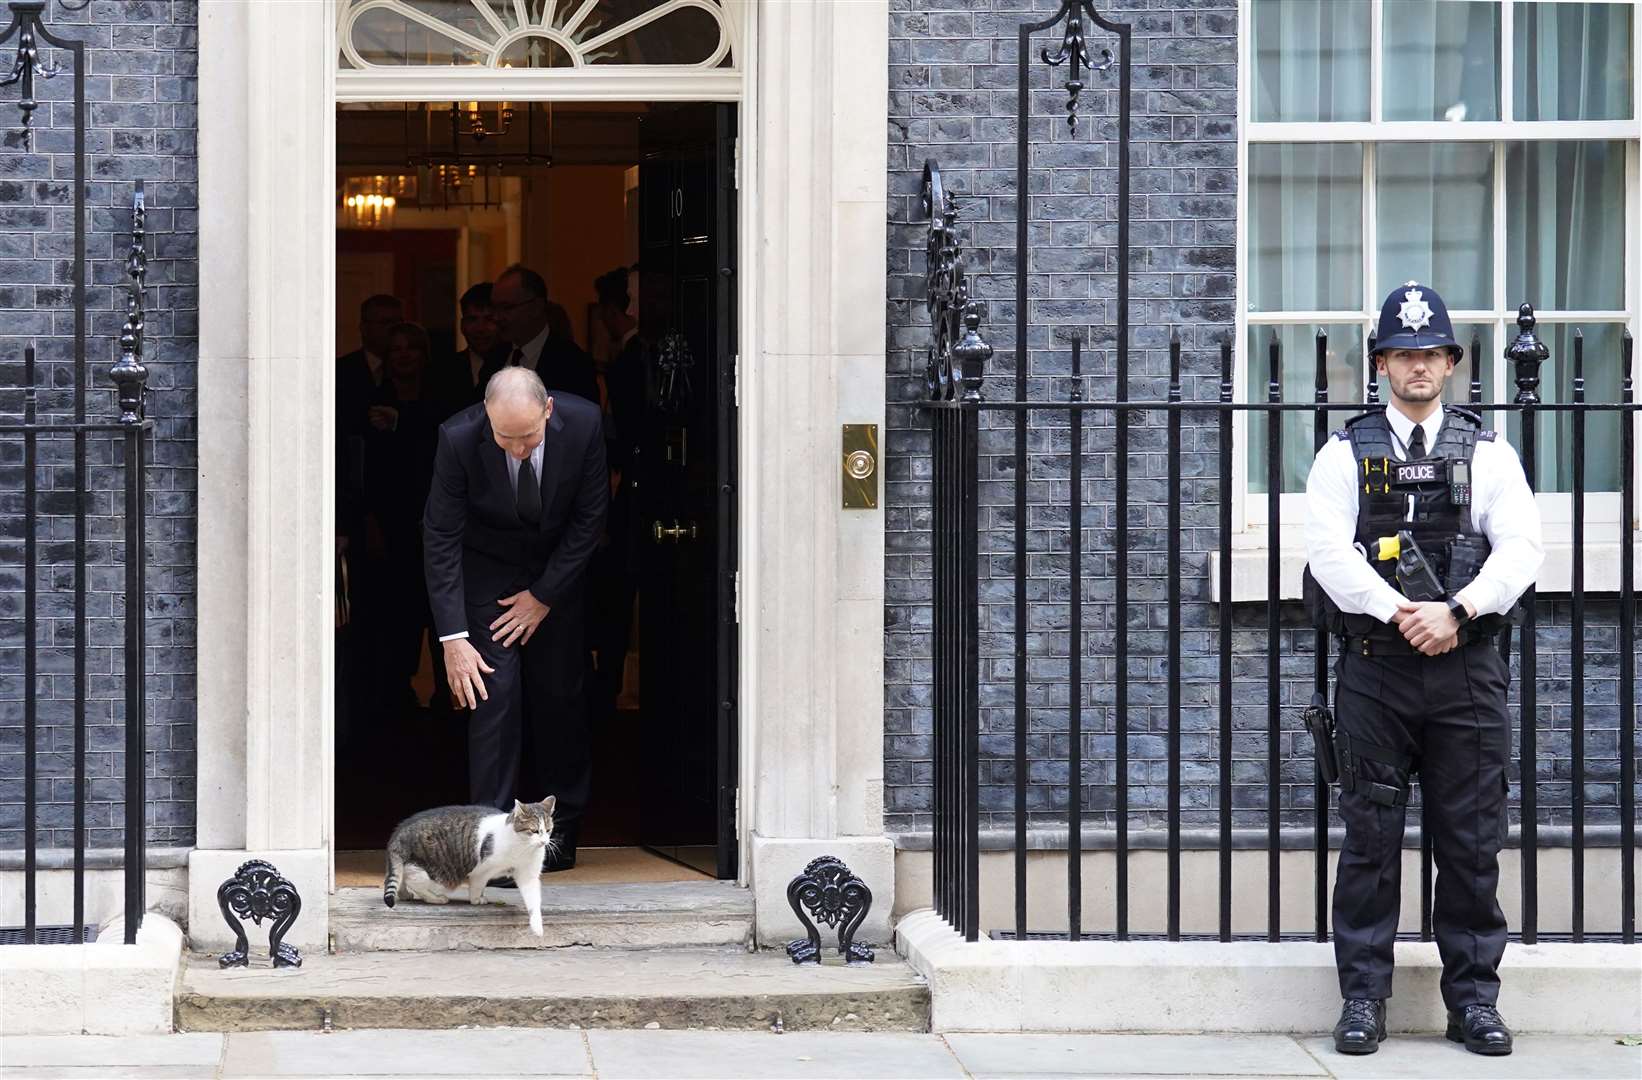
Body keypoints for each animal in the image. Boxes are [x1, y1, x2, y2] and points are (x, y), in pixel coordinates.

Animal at [379, 791, 554, 932]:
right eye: (534, 831)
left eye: (548, 830)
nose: (544, 842)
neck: (523, 847)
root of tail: (399, 832)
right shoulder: (483, 870)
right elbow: (477, 886)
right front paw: (476, 900)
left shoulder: (529, 876)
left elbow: (534, 900)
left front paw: (537, 927)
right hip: (435, 871)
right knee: (412, 878)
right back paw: (435, 898)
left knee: (400, 875)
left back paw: (405, 894)